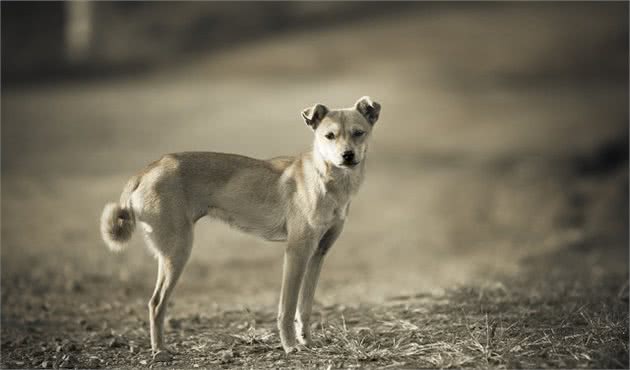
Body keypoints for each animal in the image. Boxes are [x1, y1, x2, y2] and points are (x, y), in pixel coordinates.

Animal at [101, 95, 382, 358]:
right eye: (329, 136)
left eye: (358, 132)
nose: (347, 156)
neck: (326, 179)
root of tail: (148, 169)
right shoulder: (296, 252)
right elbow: (287, 307)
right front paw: (290, 346)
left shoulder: (318, 254)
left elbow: (305, 307)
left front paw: (306, 341)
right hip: (178, 251)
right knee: (157, 303)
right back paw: (159, 350)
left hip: (172, 253)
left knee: (155, 303)